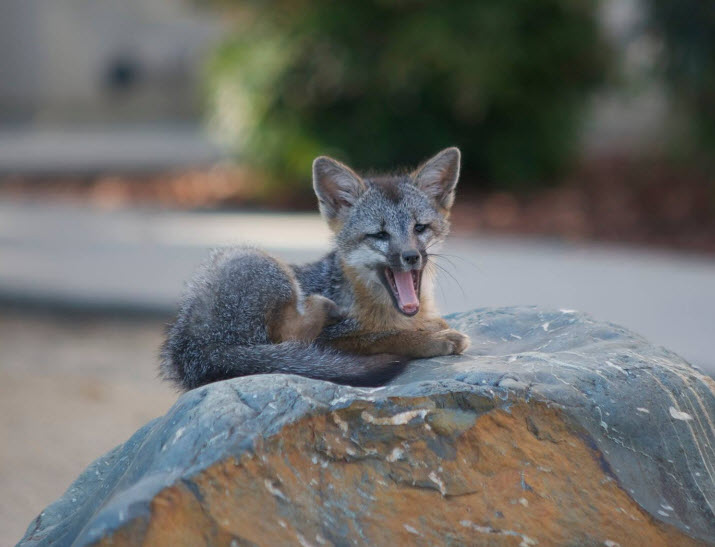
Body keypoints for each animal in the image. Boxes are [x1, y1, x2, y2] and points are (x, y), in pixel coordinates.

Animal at [160, 147, 470, 390]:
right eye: (380, 235)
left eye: (420, 228)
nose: (411, 256)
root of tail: (198, 348)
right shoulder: (335, 338)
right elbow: (385, 336)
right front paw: (431, 339)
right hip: (258, 261)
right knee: (292, 339)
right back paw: (323, 307)